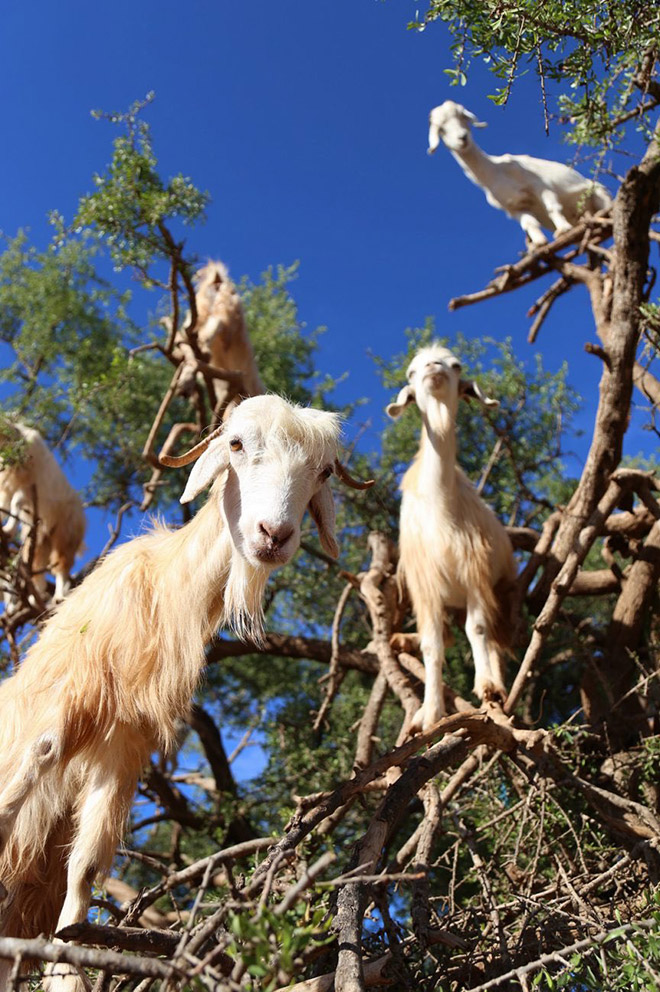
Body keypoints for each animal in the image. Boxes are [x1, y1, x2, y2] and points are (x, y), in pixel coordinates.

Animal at [0, 418, 85, 604]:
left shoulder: (29, 488)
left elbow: (15, 503)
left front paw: (8, 530)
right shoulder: (6, 487)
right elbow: (4, 506)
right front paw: (6, 530)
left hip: (66, 532)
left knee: (61, 564)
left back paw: (59, 596)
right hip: (40, 539)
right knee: (35, 564)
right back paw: (34, 598)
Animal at [390, 344, 520, 732]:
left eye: (456, 364)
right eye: (411, 372)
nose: (434, 367)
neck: (439, 505)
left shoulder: (474, 573)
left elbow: (476, 629)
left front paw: (487, 685)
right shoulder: (426, 586)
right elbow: (433, 646)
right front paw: (430, 713)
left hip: (498, 587)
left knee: (491, 637)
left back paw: (495, 686)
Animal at [428, 100, 612, 248]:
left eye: (463, 118)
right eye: (441, 129)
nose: (462, 138)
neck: (496, 172)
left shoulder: (540, 185)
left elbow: (553, 207)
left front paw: (563, 231)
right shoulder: (513, 207)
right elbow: (529, 223)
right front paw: (539, 244)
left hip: (600, 194)